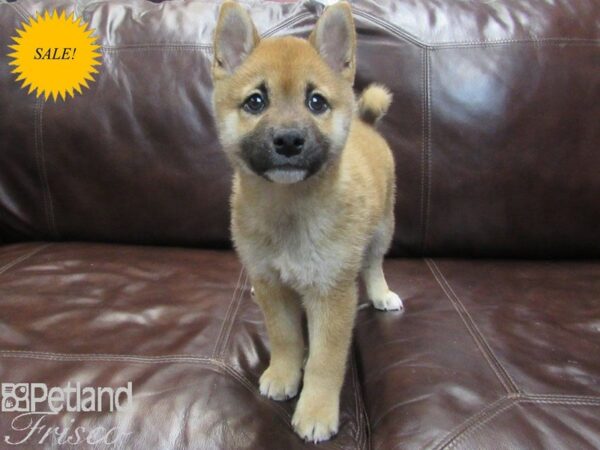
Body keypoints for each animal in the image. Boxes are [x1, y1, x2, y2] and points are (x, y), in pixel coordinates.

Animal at [211, 0, 404, 442]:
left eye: (316, 102)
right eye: (255, 102)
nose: (288, 140)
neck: (289, 210)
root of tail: (366, 124)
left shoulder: (332, 294)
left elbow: (324, 361)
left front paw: (316, 410)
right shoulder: (272, 285)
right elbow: (284, 339)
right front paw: (284, 374)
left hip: (381, 231)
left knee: (374, 265)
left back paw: (382, 293)